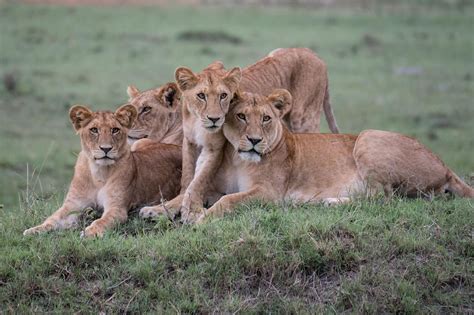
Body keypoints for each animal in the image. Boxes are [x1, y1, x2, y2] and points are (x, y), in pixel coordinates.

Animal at [22, 105, 182, 238]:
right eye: (94, 130)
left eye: (115, 130)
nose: (106, 149)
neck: (98, 172)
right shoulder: (73, 205)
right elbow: (53, 218)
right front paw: (34, 230)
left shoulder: (117, 208)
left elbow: (101, 221)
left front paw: (90, 232)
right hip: (140, 142)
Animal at [190, 88, 474, 222]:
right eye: (241, 116)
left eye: (266, 118)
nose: (254, 141)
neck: (239, 159)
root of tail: (445, 166)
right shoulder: (217, 186)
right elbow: (196, 195)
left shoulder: (269, 193)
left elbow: (228, 201)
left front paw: (202, 219)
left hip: (368, 138)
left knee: (382, 198)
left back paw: (322, 202)